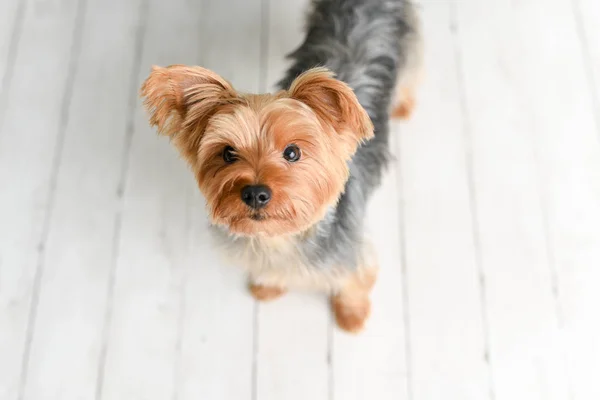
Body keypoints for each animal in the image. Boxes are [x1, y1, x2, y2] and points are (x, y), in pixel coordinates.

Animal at [141, 0, 422, 332]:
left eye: (292, 152)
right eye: (227, 153)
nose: (255, 193)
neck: (279, 239)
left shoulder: (350, 255)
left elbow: (355, 284)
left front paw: (352, 316)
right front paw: (268, 287)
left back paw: (402, 105)